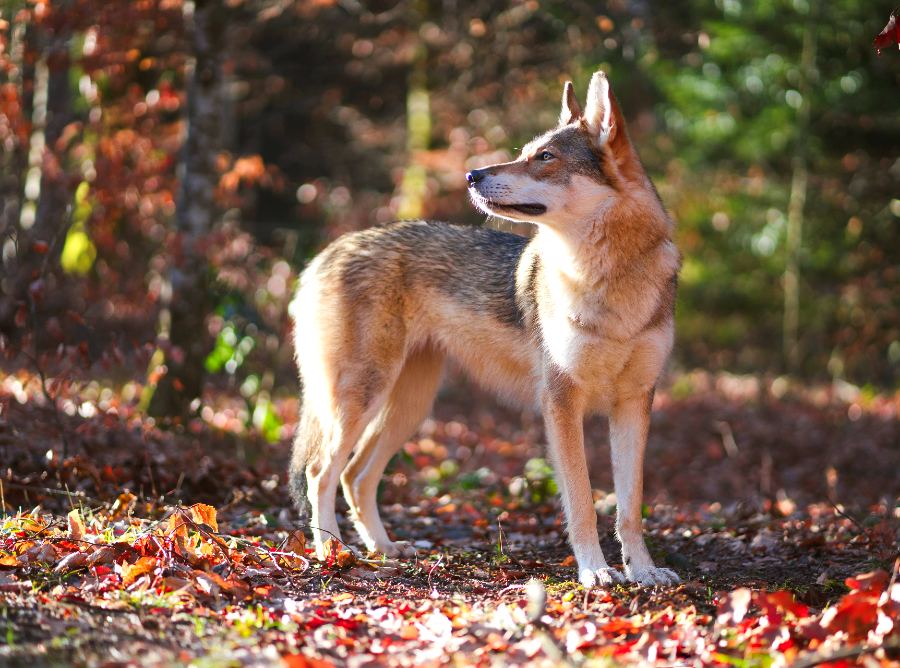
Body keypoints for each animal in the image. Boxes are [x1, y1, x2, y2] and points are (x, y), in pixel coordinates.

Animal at [292, 70, 680, 588]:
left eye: (544, 157)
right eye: (526, 151)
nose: (471, 175)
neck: (610, 279)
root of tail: (327, 253)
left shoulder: (635, 403)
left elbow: (630, 506)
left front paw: (644, 571)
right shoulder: (561, 402)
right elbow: (581, 502)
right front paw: (595, 571)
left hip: (408, 407)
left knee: (356, 476)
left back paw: (384, 549)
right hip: (360, 400)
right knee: (320, 471)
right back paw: (331, 552)